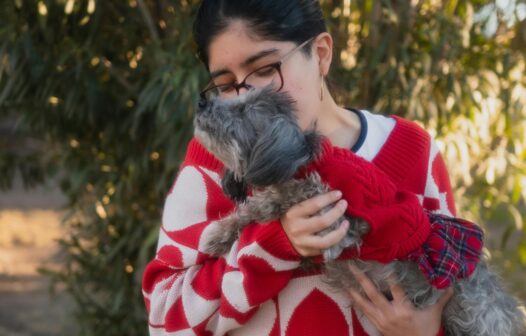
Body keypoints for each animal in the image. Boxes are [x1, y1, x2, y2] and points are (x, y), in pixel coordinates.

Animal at [195, 87, 526, 336]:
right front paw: (223, 234)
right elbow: (259, 207)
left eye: (242, 110)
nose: (202, 101)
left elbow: (277, 201)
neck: (304, 160)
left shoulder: (347, 218)